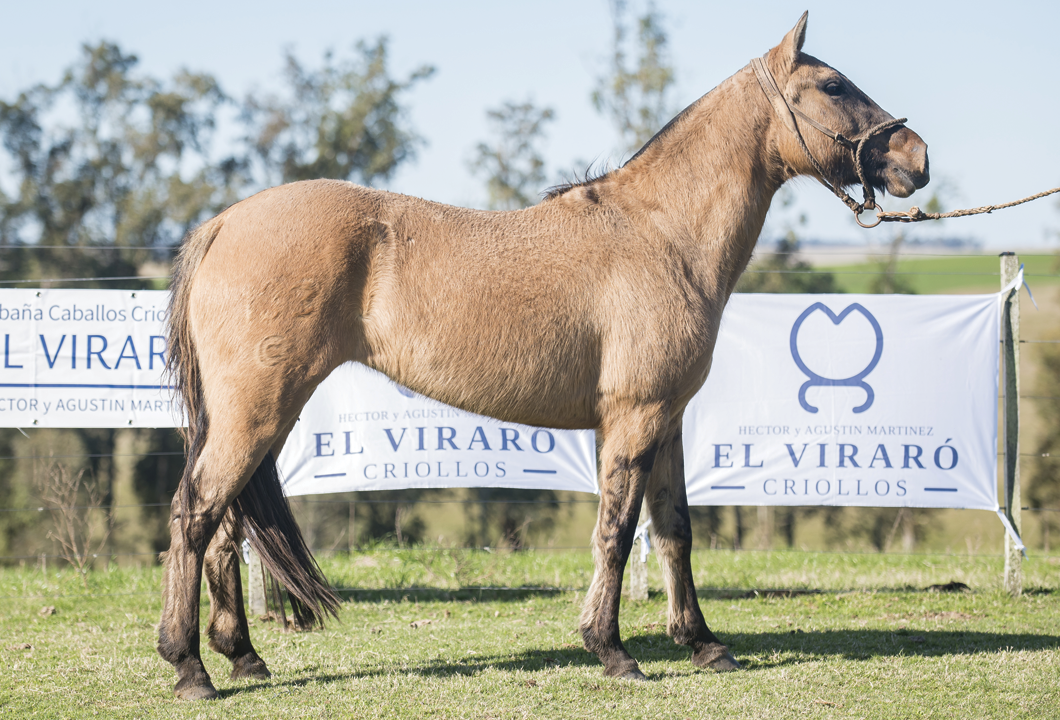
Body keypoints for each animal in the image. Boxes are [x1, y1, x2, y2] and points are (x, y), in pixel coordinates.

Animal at [156, 11, 928, 699]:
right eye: (832, 85)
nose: (916, 158)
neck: (660, 234)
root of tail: (224, 223)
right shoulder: (634, 417)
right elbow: (616, 531)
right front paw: (611, 650)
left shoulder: (668, 419)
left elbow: (674, 530)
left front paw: (702, 643)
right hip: (259, 410)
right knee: (196, 512)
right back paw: (189, 667)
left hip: (255, 417)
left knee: (223, 524)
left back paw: (240, 656)